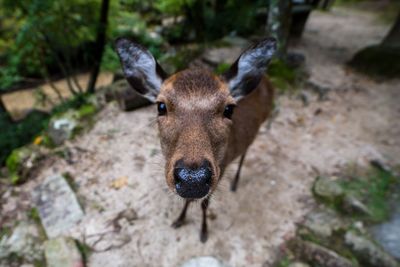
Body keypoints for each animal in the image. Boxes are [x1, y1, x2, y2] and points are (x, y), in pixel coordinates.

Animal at [115, 36, 276, 244]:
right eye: (160, 106)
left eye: (229, 109)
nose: (193, 179)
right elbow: (187, 200)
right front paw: (179, 219)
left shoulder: (221, 168)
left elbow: (204, 204)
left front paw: (204, 232)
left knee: (246, 151)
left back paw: (235, 183)